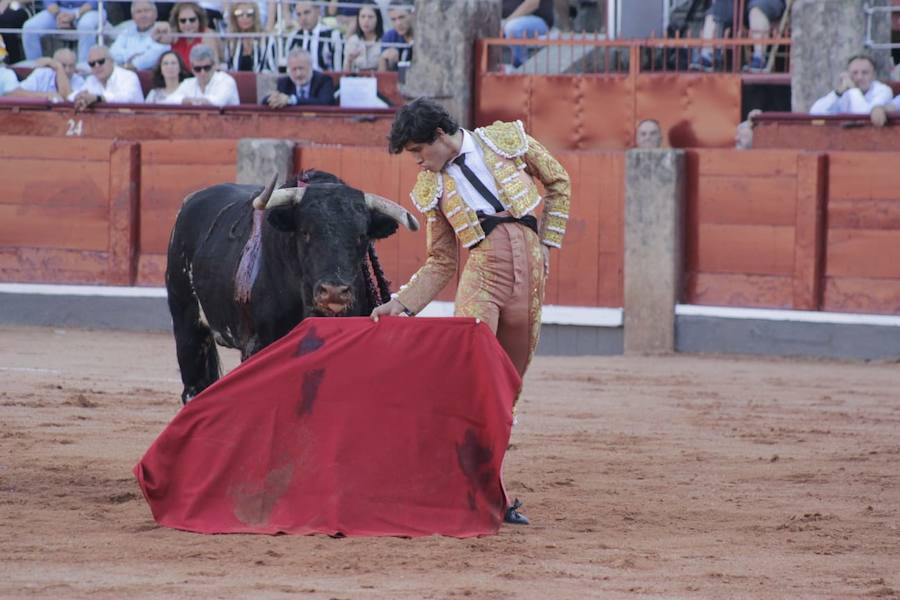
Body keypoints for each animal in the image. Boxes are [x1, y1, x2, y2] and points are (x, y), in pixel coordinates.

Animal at [165, 170, 418, 404]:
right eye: (305, 232)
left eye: (362, 236)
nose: (334, 291)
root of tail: (191, 200)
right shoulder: (257, 344)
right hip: (186, 319)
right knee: (193, 388)